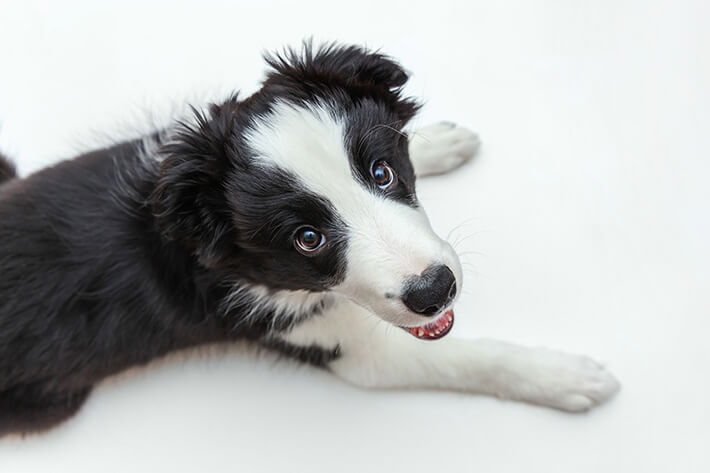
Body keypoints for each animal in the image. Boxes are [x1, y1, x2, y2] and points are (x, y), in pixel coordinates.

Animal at [0, 43, 624, 436]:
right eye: (307, 238)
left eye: (382, 173)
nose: (435, 291)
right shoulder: (348, 348)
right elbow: (464, 359)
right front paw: (564, 377)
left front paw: (434, 141)